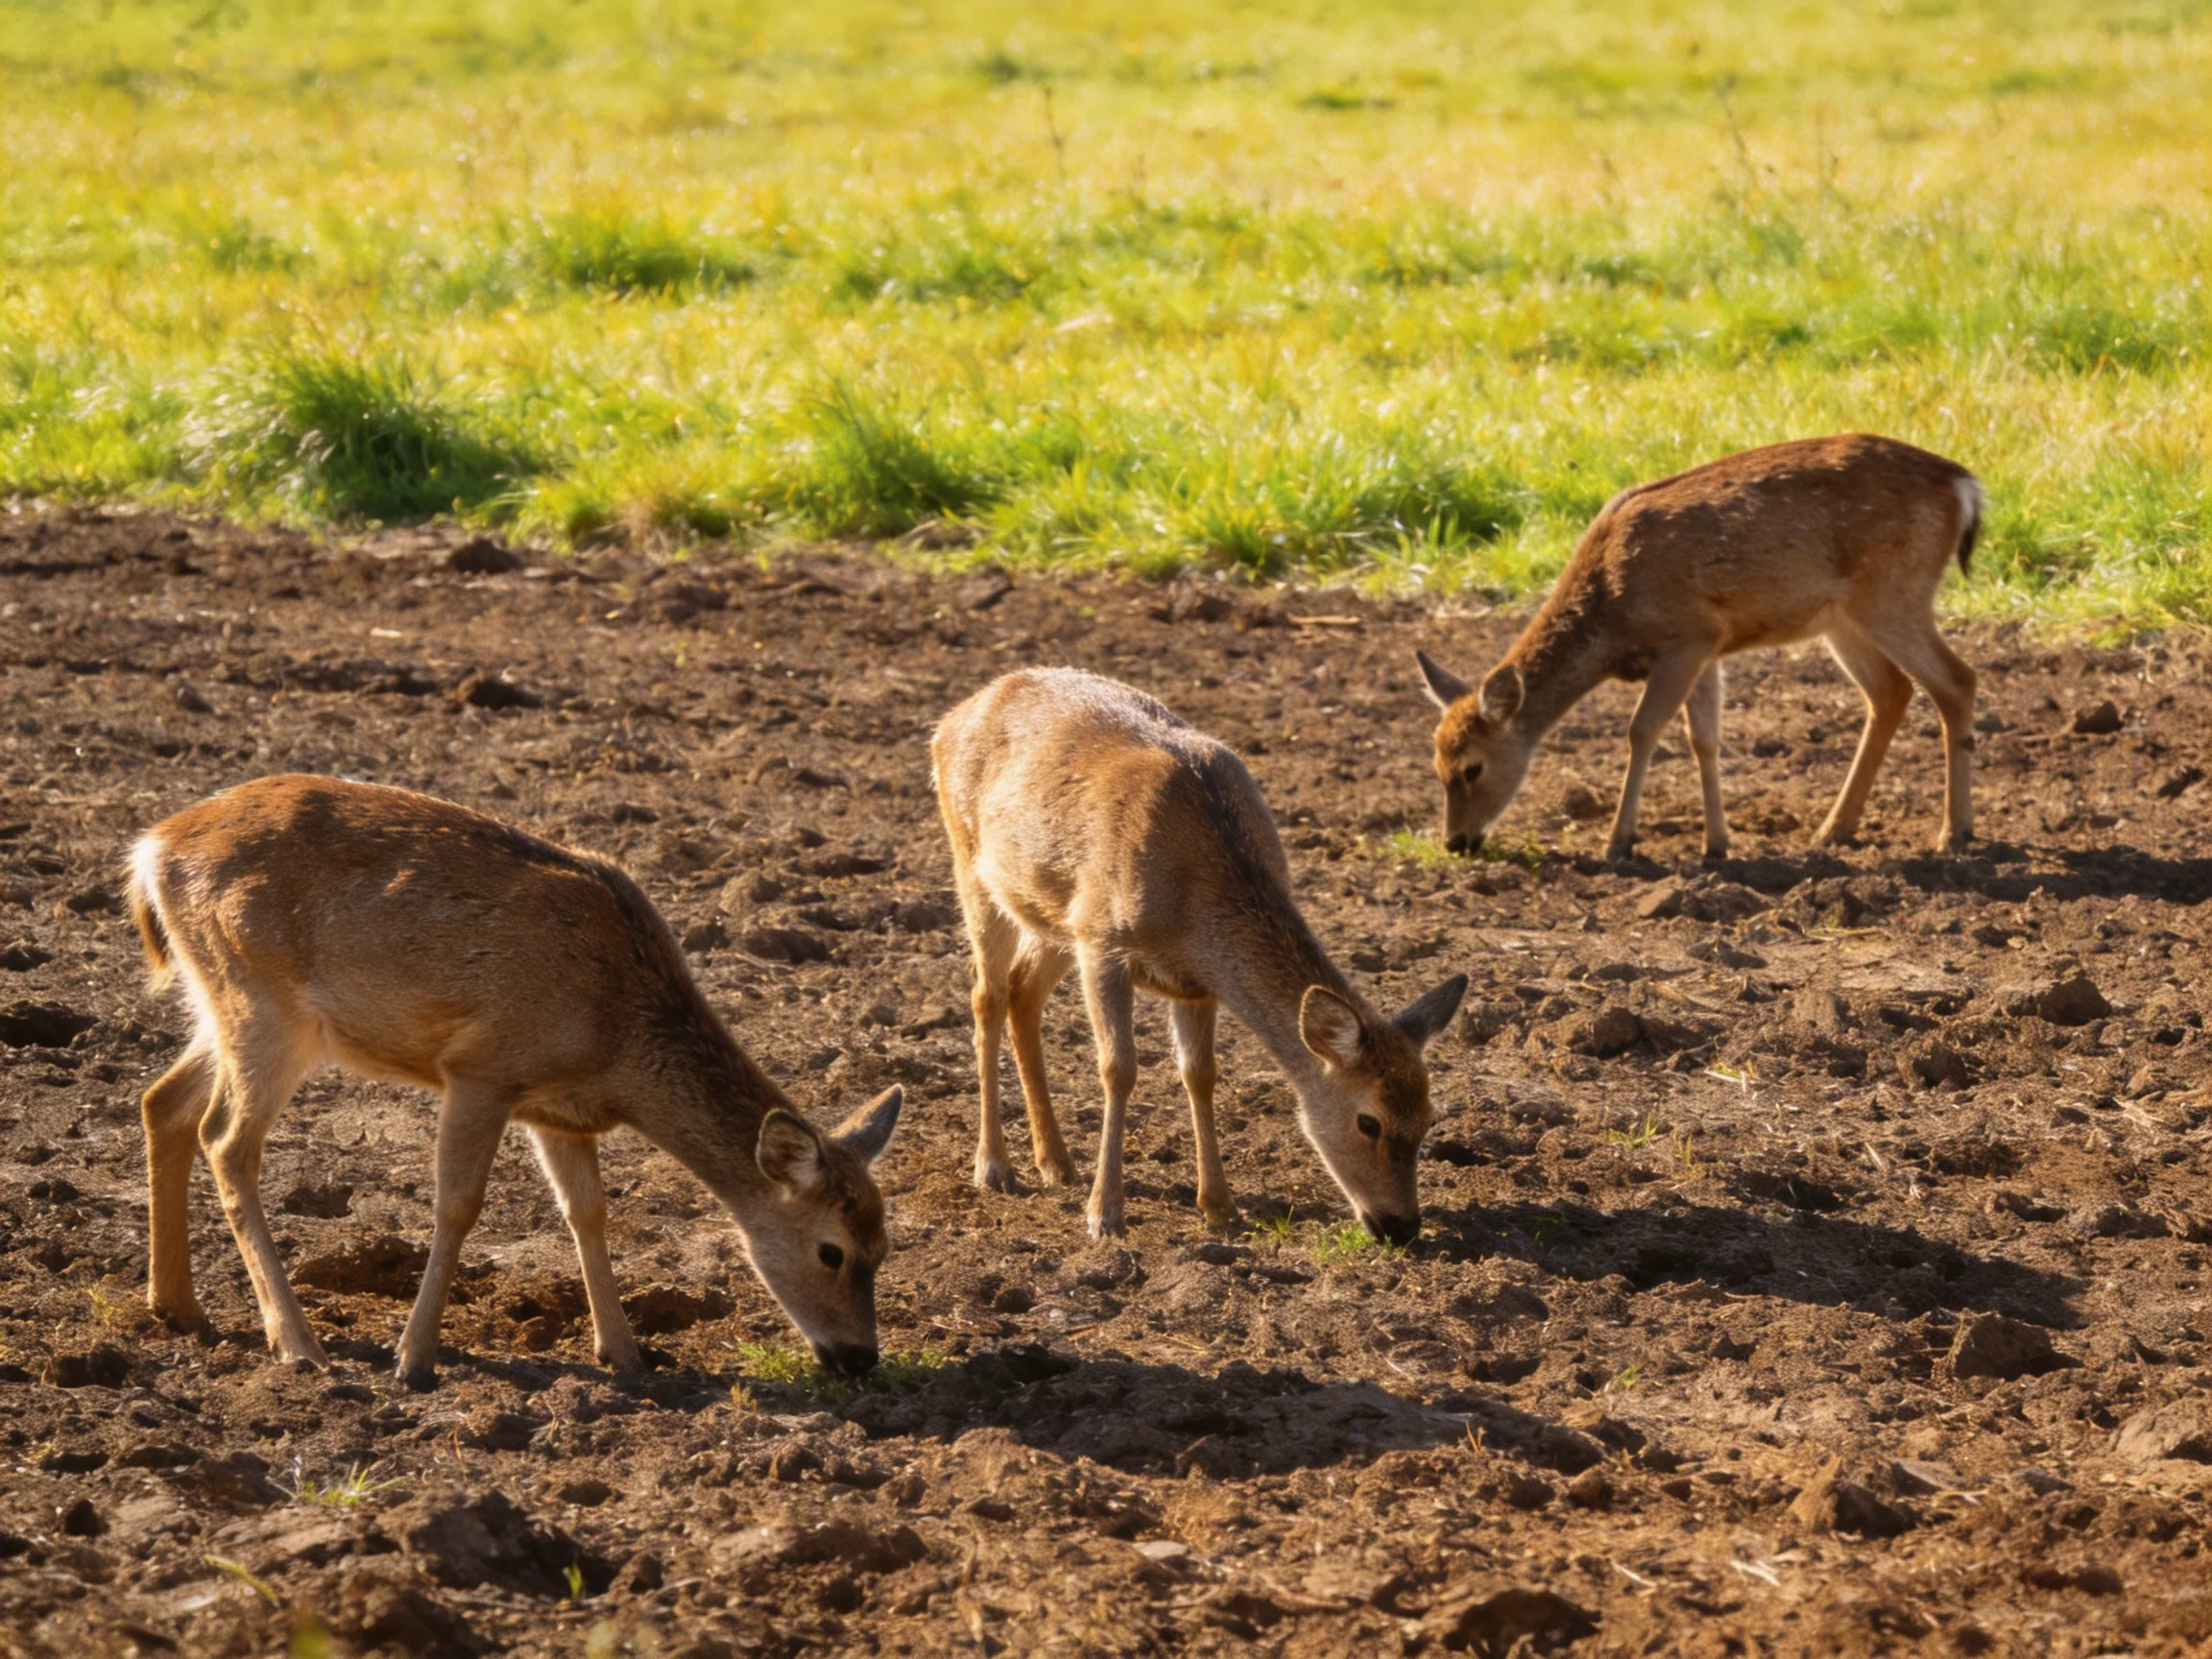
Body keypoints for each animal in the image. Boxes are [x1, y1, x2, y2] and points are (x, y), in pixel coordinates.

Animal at [126, 774, 902, 1390]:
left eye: (884, 1247)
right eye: (831, 1250)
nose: (861, 1358)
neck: (616, 1040)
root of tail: (150, 850)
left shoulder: (557, 1112)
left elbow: (588, 1211)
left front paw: (625, 1354)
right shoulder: (482, 1068)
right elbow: (458, 1206)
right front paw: (415, 1359)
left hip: (222, 1002)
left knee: (162, 1101)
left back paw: (178, 1307)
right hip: (262, 999)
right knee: (225, 1140)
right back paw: (297, 1344)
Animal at [932, 668, 1467, 1245]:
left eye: (1431, 1118)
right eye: (1370, 1121)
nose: (1402, 1226)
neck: (1194, 911)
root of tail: (950, 719)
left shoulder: (1194, 981)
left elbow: (1201, 1074)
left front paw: (1220, 1207)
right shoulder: (1101, 937)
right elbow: (1118, 1068)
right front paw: (1105, 1213)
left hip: (1050, 913)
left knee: (1022, 993)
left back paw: (1056, 1162)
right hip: (973, 867)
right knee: (986, 996)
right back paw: (995, 1167)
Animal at [1414, 434, 1983, 862]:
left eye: (1472, 767)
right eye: (1435, 767)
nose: (1456, 841)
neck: (1611, 612)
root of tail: (1966, 487)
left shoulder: (1687, 635)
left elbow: (1642, 729)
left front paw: (1619, 842)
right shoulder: (1711, 644)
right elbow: (1704, 738)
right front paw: (1717, 844)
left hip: (1893, 592)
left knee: (1957, 680)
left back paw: (1954, 832)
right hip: (1842, 617)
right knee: (1890, 691)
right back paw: (1834, 829)